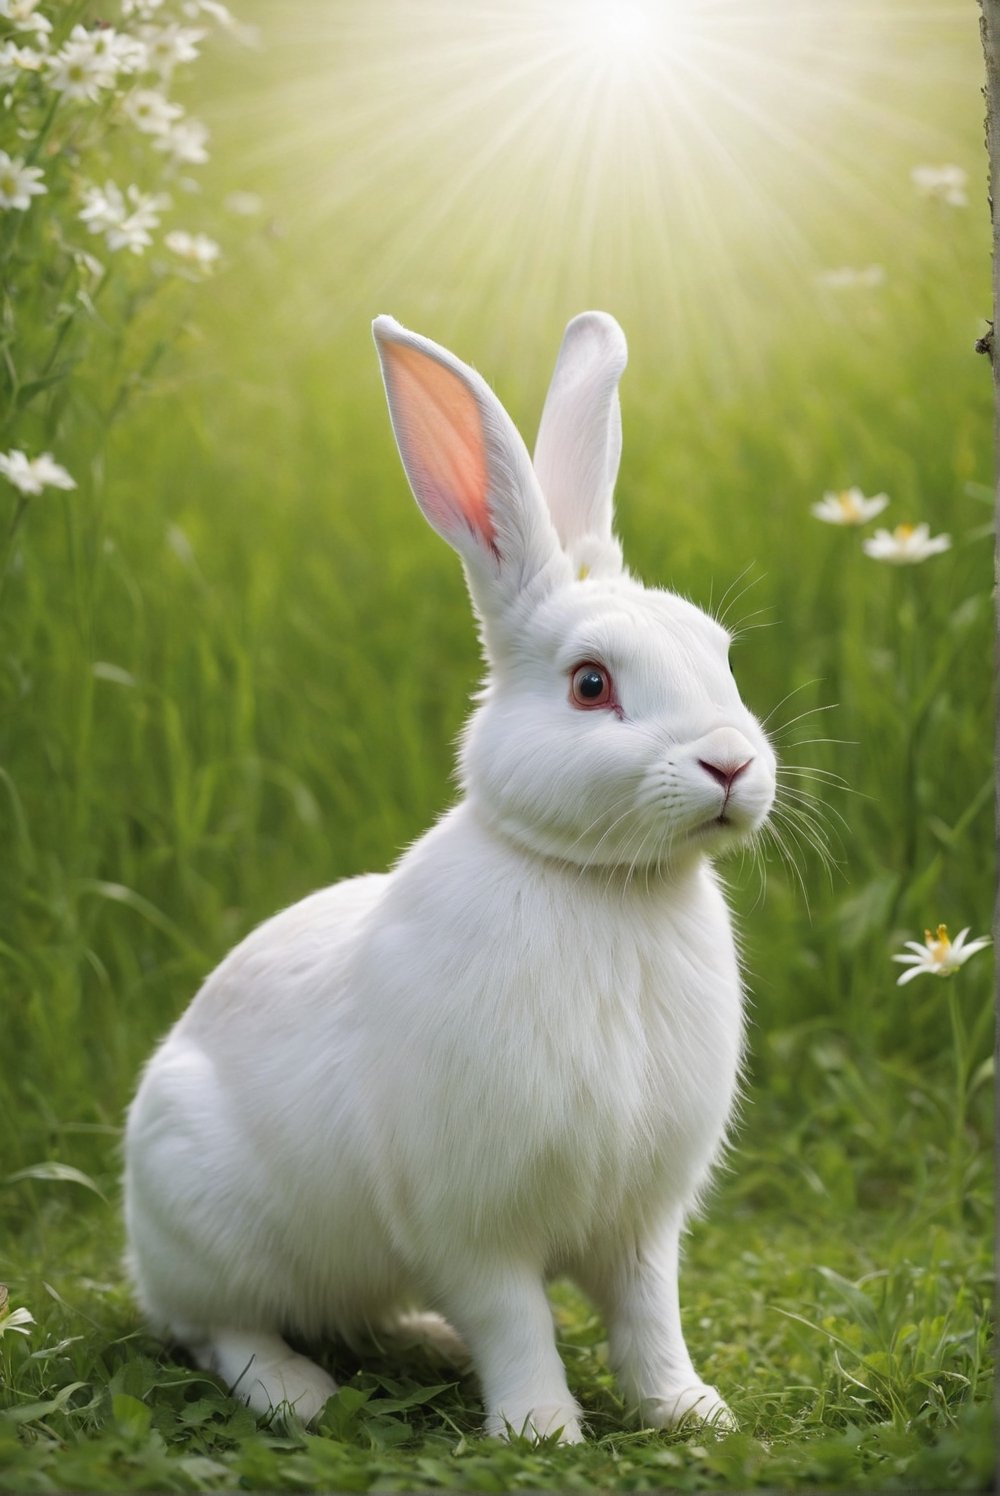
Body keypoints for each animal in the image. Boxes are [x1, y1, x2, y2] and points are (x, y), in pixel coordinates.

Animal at [124, 309, 778, 1442]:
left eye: (722, 655)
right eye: (591, 684)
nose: (731, 764)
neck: (601, 884)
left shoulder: (643, 1218)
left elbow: (648, 1314)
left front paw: (690, 1412)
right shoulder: (470, 1217)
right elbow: (515, 1318)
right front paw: (540, 1427)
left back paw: (421, 1339)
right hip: (205, 1218)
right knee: (216, 1328)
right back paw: (299, 1392)